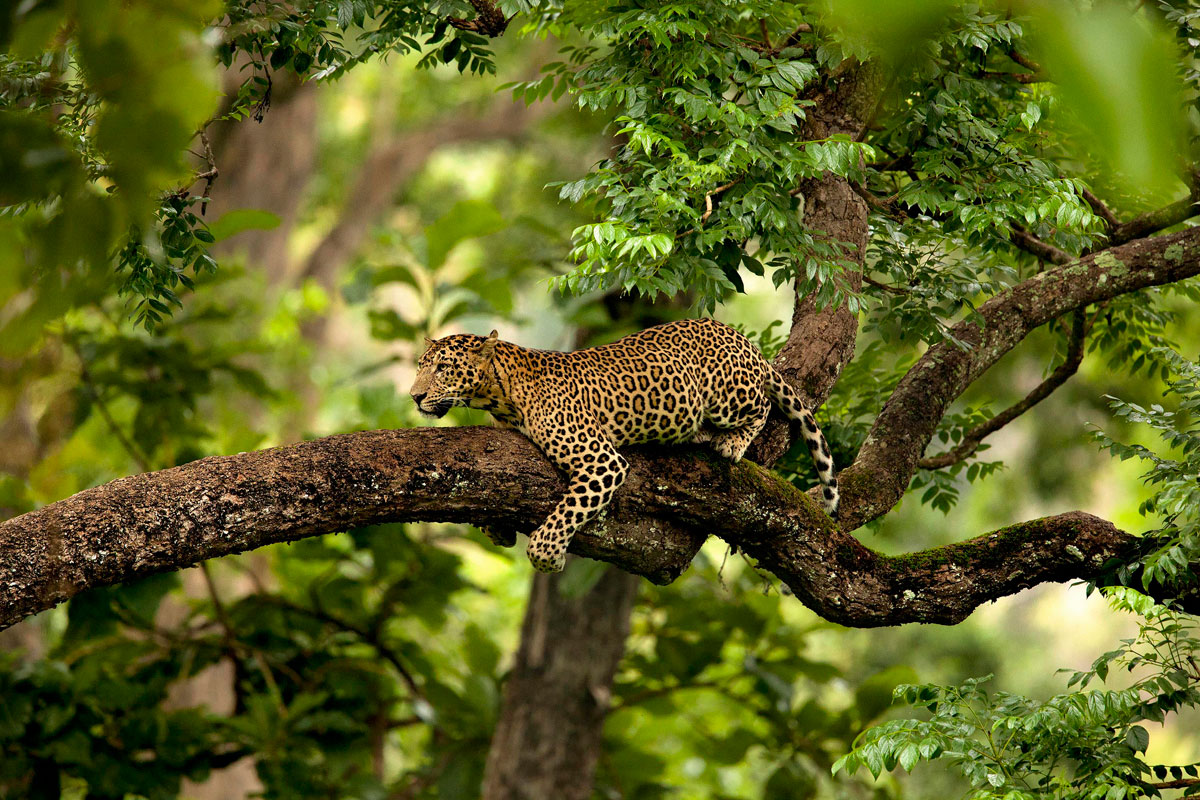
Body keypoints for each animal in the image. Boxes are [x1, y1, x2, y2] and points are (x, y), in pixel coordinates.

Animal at [409, 318, 839, 573]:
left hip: (728, 395)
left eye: (443, 368)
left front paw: (548, 557)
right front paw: (498, 528)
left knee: (762, 405)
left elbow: (564, 515)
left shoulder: (602, 460)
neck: (499, 393)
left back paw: (731, 442)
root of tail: (740, 338)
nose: (415, 396)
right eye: (420, 366)